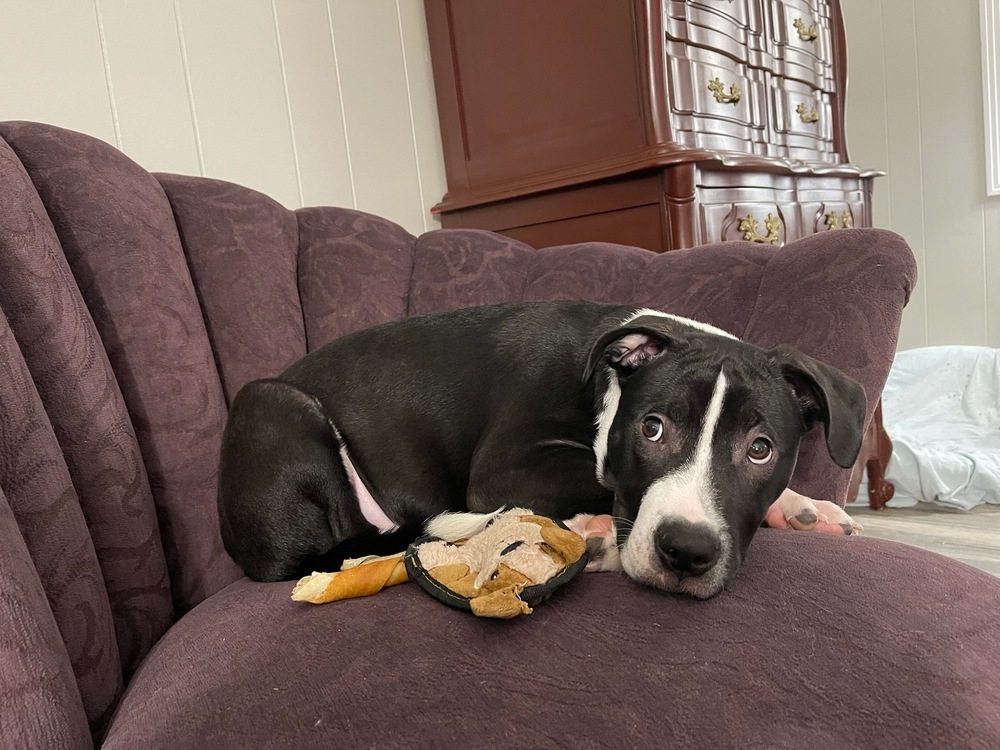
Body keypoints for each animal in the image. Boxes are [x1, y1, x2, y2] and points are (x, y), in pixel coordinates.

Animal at [219, 300, 868, 600]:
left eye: (761, 449)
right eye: (652, 429)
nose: (686, 552)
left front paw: (805, 507)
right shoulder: (506, 469)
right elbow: (606, 474)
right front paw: (606, 530)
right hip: (275, 402)